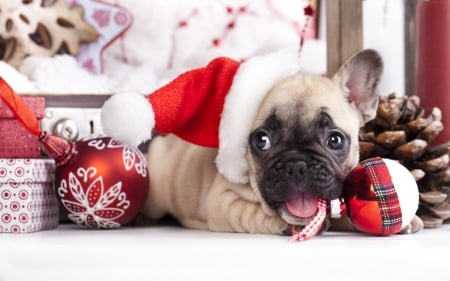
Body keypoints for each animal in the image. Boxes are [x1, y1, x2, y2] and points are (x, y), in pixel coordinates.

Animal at [141, 49, 422, 234]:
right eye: (261, 140)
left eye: (334, 139)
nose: (296, 165)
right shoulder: (222, 201)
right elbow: (251, 213)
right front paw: (288, 223)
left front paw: (407, 220)